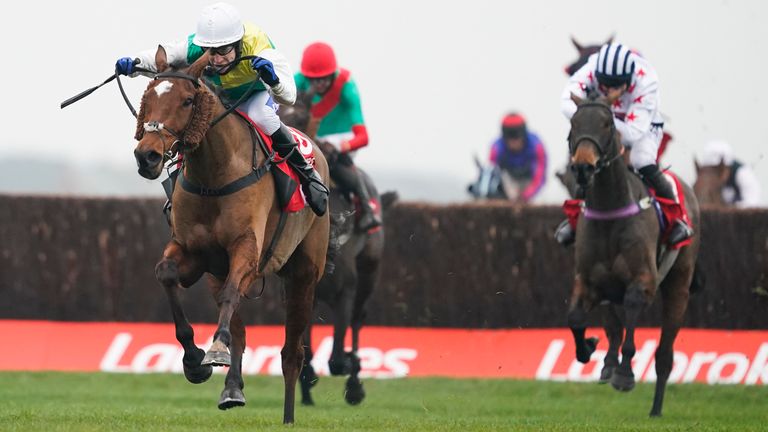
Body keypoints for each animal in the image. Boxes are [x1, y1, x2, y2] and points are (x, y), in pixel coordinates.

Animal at [133, 46, 330, 422]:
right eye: (147, 98)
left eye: (187, 101)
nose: (146, 155)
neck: (214, 176)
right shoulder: (193, 252)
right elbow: (166, 274)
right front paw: (195, 361)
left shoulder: (247, 250)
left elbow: (231, 296)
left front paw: (214, 352)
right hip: (217, 271)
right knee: (239, 330)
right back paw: (232, 389)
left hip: (305, 272)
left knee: (291, 353)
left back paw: (288, 417)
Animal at [278, 91, 392, 404]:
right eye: (279, 113)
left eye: (302, 117)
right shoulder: (303, 288)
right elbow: (304, 348)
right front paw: (306, 383)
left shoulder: (346, 290)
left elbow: (338, 359)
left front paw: (354, 373)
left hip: (369, 272)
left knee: (357, 321)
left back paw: (355, 380)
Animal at [568, 93, 700, 416]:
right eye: (574, 123)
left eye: (606, 123)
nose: (583, 168)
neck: (609, 210)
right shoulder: (588, 281)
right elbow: (577, 319)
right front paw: (589, 347)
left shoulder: (642, 282)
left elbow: (631, 322)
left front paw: (625, 375)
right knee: (614, 327)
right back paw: (607, 364)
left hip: (679, 285)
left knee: (664, 355)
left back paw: (655, 409)